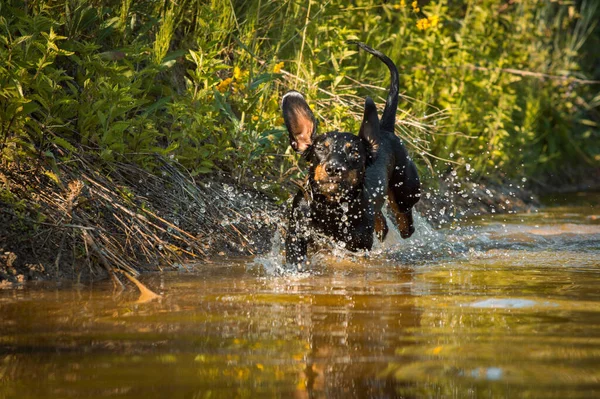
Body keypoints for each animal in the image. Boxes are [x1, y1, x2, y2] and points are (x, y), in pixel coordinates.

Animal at [282, 41, 420, 268]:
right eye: (320, 149)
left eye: (354, 152)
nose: (333, 168)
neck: (331, 207)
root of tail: (385, 130)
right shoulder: (297, 232)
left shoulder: (356, 245)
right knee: (382, 221)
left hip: (406, 192)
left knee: (404, 222)